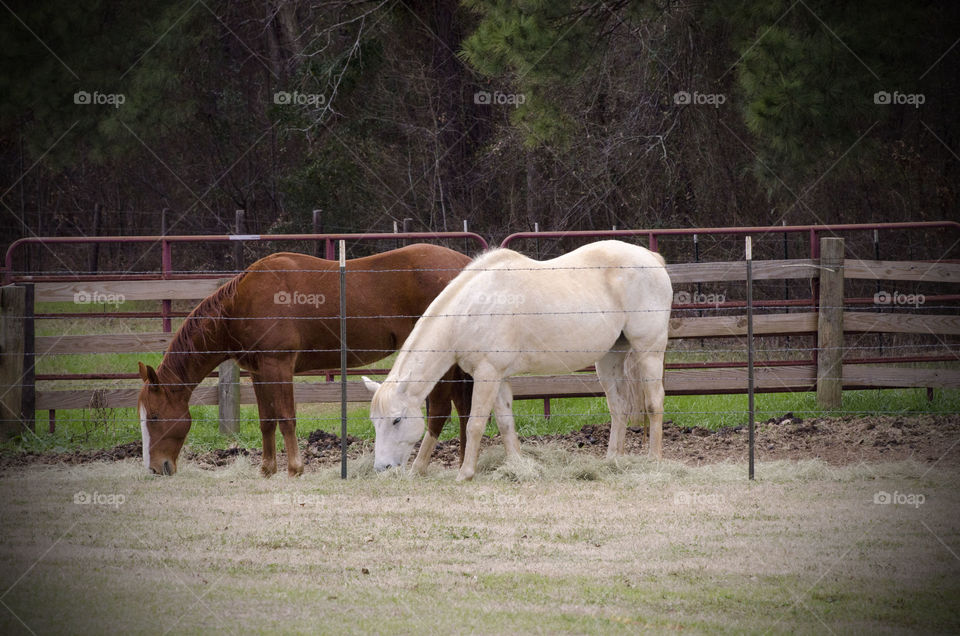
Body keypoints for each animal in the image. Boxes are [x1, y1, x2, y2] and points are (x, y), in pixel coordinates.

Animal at [137, 244, 473, 477]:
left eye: (154, 416)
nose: (155, 467)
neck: (242, 304)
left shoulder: (279, 365)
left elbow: (286, 417)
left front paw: (295, 468)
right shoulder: (259, 371)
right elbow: (267, 420)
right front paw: (267, 468)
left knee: (440, 411)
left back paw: (421, 467)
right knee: (463, 409)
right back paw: (461, 463)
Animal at [363, 240, 673, 481]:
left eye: (396, 420)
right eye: (374, 421)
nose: (382, 468)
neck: (472, 309)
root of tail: (652, 259)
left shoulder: (487, 374)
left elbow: (475, 424)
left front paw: (465, 474)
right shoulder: (497, 376)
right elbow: (505, 422)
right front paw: (517, 465)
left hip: (649, 351)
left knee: (654, 402)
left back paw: (654, 461)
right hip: (609, 358)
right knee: (618, 407)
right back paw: (613, 461)